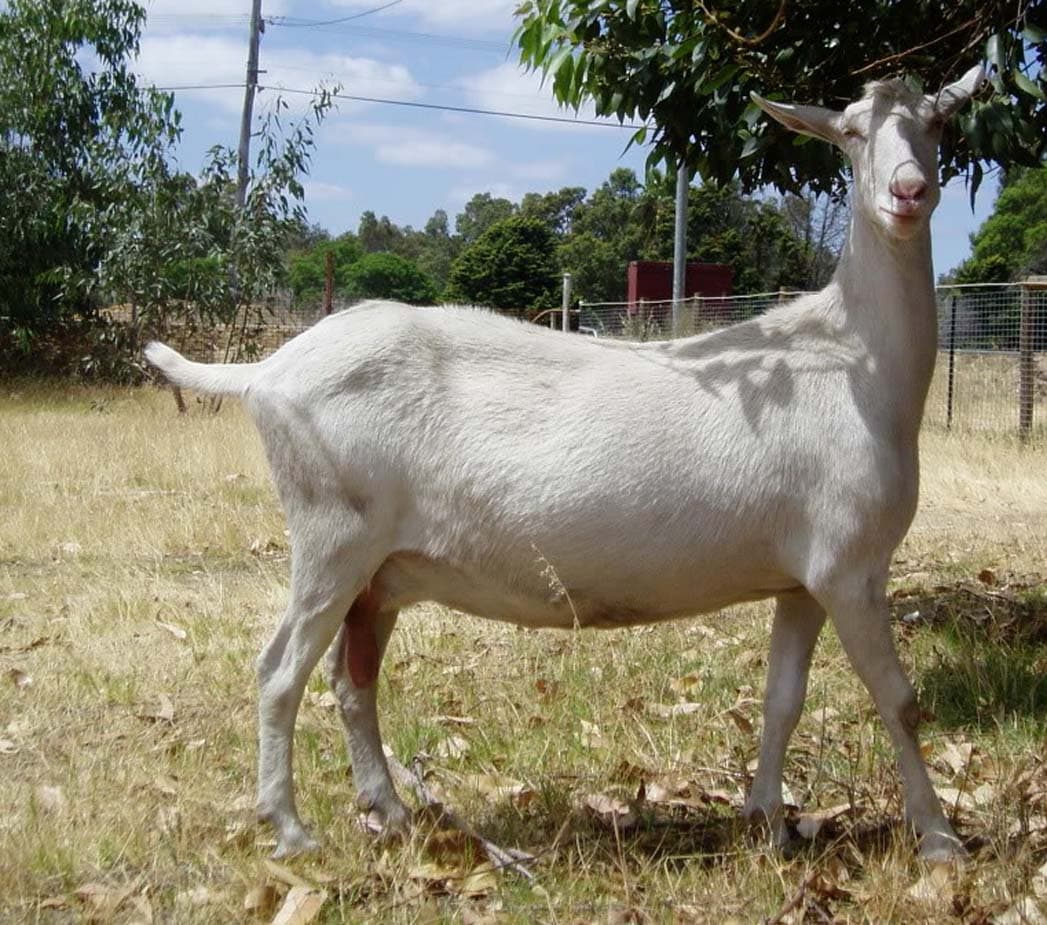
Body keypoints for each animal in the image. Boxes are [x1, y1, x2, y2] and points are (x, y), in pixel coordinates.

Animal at [145, 66, 984, 862]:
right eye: (849, 133)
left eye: (940, 121)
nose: (908, 191)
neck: (852, 360)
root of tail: (266, 371)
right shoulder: (850, 564)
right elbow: (899, 698)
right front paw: (939, 839)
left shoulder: (802, 578)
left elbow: (782, 698)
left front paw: (767, 824)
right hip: (330, 535)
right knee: (279, 672)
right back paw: (289, 828)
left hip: (375, 572)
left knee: (352, 680)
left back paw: (389, 810)